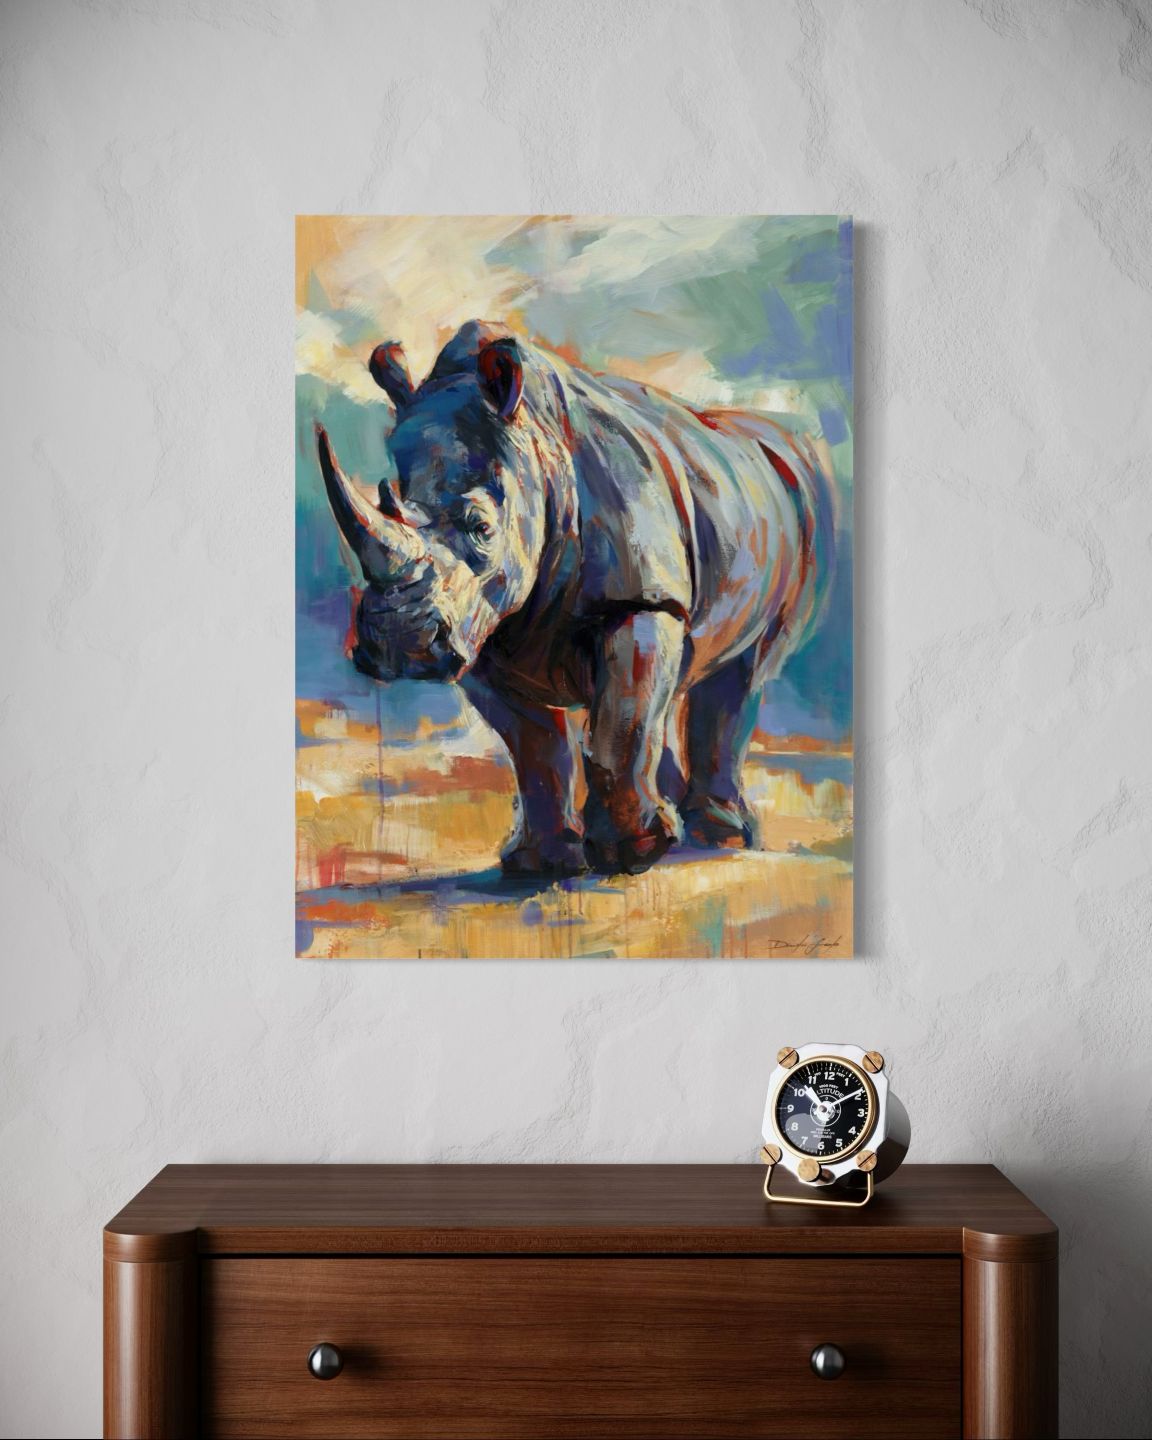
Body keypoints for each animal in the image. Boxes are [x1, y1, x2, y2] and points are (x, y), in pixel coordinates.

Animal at [316, 320, 837, 877]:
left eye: (481, 528)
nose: (399, 648)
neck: (536, 454)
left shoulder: (639, 599)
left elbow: (621, 722)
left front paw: (631, 855)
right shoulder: (484, 626)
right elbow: (535, 747)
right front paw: (539, 865)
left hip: (804, 512)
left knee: (745, 670)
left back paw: (719, 837)